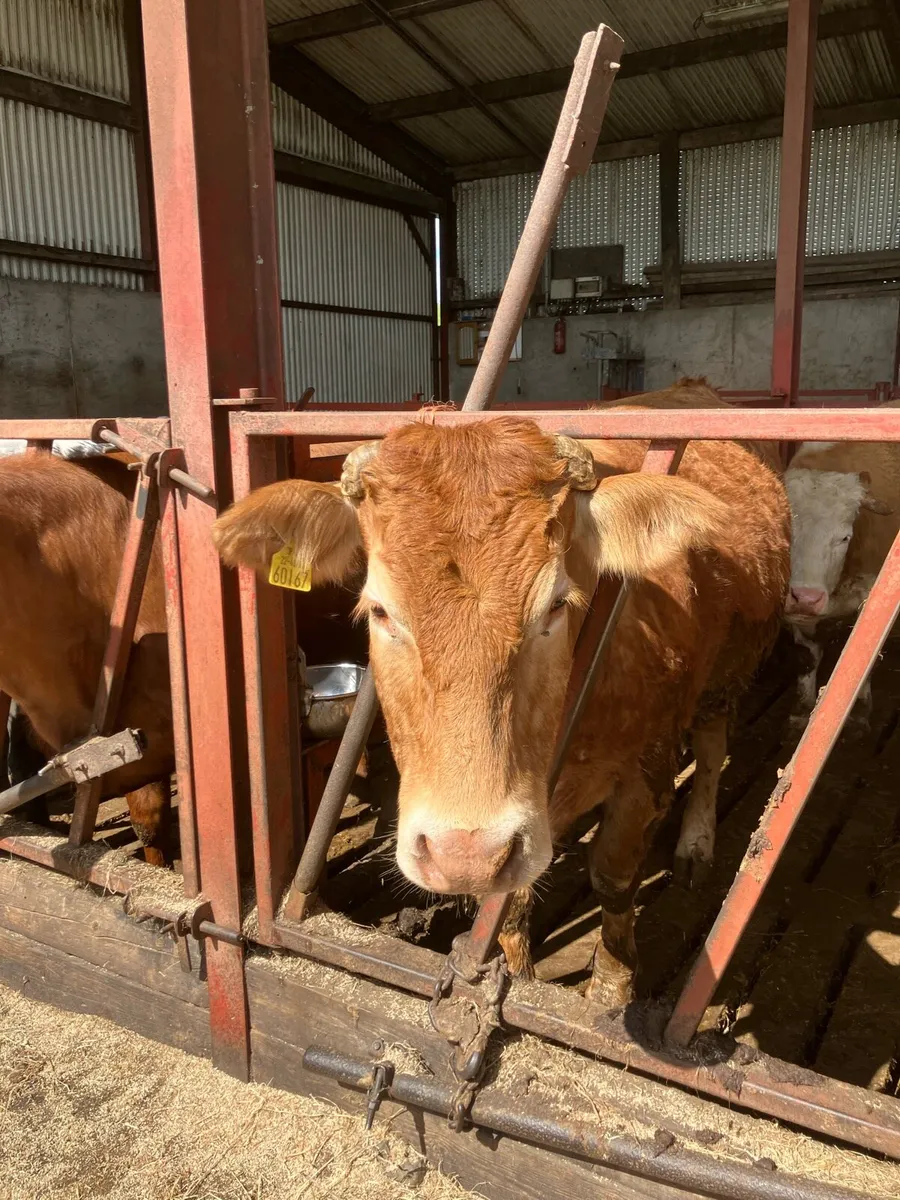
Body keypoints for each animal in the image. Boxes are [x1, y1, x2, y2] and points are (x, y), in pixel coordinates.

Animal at [212, 381, 790, 1000]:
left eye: (557, 604)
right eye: (380, 610)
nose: (464, 853)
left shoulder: (648, 766)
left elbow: (613, 879)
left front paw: (608, 993)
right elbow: (508, 908)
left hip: (729, 670)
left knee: (710, 748)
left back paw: (695, 843)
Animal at [784, 413, 899, 730]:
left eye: (844, 537)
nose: (806, 598)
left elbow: (859, 656)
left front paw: (859, 710)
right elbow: (806, 657)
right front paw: (802, 708)